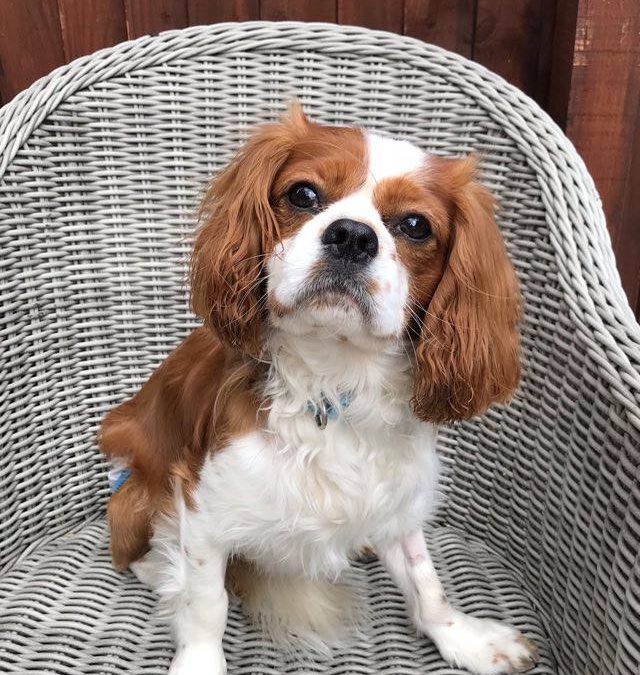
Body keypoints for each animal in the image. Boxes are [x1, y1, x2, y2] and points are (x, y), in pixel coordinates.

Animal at [101, 105, 540, 675]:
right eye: (303, 195)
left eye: (415, 226)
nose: (352, 235)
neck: (336, 378)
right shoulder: (203, 505)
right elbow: (206, 603)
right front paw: (198, 658)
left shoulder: (398, 495)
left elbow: (426, 580)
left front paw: (463, 637)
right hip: (134, 497)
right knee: (132, 554)